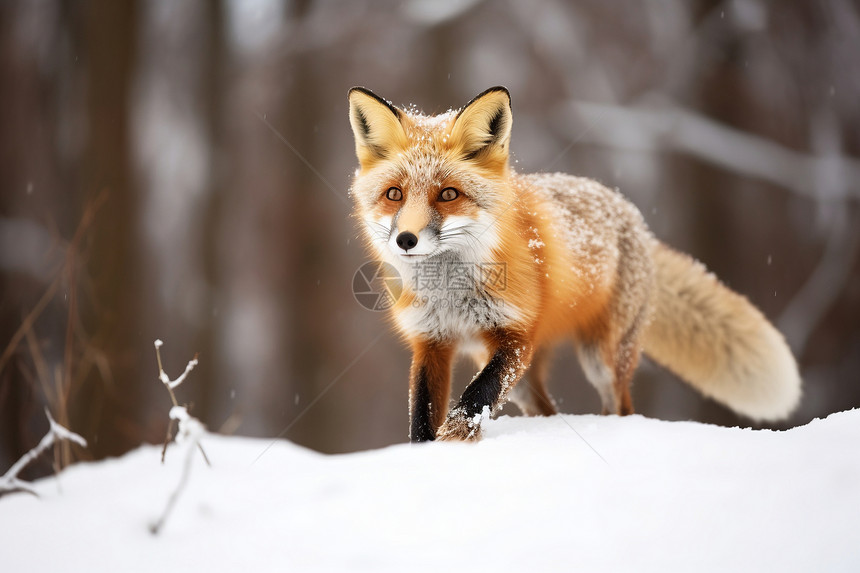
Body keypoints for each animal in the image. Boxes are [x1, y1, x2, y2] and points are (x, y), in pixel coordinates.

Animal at [346, 86, 804, 442]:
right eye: (394, 195)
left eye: (447, 194)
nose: (406, 240)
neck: (449, 293)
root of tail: (632, 215)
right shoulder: (431, 342)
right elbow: (421, 417)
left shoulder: (516, 337)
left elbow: (474, 399)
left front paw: (456, 438)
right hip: (525, 375)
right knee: (547, 409)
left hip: (600, 358)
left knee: (620, 406)